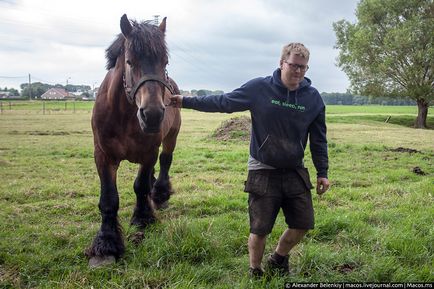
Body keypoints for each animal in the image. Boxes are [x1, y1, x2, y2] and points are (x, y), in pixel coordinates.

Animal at [85, 13, 181, 266]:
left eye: (165, 62)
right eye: (130, 61)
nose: (153, 115)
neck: (124, 116)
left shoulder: (149, 152)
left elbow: (140, 185)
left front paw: (142, 218)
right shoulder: (103, 155)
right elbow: (109, 198)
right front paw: (106, 244)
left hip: (171, 137)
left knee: (165, 161)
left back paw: (159, 194)